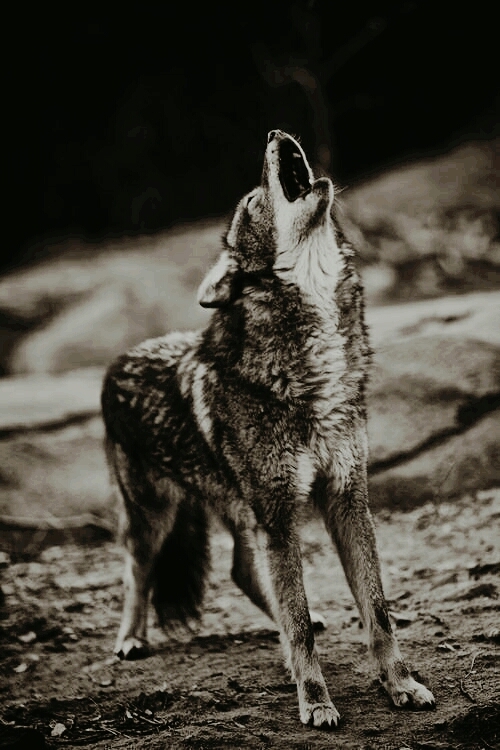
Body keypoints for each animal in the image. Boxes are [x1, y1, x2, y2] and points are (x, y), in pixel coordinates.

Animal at [101, 130, 435, 728]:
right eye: (253, 201)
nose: (278, 135)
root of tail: (118, 360)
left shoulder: (347, 499)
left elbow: (375, 609)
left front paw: (401, 685)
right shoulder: (280, 515)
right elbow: (298, 622)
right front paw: (317, 702)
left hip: (240, 511)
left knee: (240, 572)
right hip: (157, 511)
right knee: (137, 569)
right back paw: (131, 639)